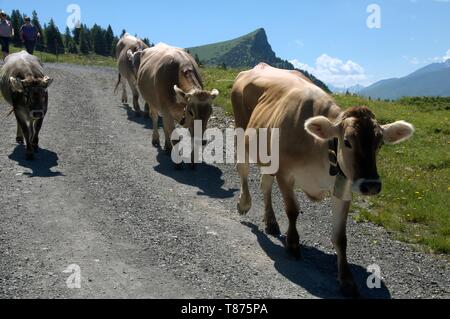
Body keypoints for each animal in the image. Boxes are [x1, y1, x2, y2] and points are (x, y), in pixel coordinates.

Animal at [232, 63, 414, 298]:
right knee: (244, 170)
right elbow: (292, 210)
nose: (371, 185)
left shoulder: (343, 187)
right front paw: (293, 244)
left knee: (265, 184)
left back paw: (271, 222)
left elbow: (340, 237)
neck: (320, 150)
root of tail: (257, 67)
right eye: (347, 141)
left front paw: (346, 280)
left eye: (379, 143)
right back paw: (244, 204)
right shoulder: (285, 173)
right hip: (241, 132)